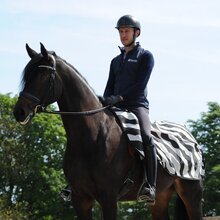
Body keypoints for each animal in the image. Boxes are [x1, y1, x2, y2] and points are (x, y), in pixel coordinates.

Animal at [13, 43, 203, 220]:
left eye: (42, 76)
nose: (19, 112)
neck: (91, 137)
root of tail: (190, 137)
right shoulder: (80, 199)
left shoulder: (108, 198)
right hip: (160, 199)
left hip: (191, 195)